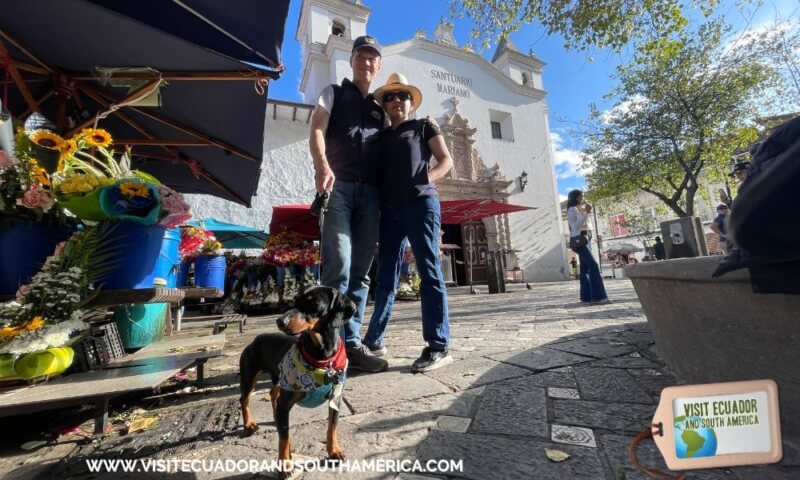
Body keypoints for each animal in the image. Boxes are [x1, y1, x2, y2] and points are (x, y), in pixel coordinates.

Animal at [238, 286, 356, 470]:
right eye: (295, 301)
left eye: (313, 303)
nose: (280, 321)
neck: (322, 359)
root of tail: (256, 339)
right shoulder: (286, 400)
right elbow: (284, 437)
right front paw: (285, 465)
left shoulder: (335, 399)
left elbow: (332, 427)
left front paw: (334, 452)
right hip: (250, 376)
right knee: (244, 399)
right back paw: (249, 424)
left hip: (280, 379)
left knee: (273, 394)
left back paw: (273, 417)